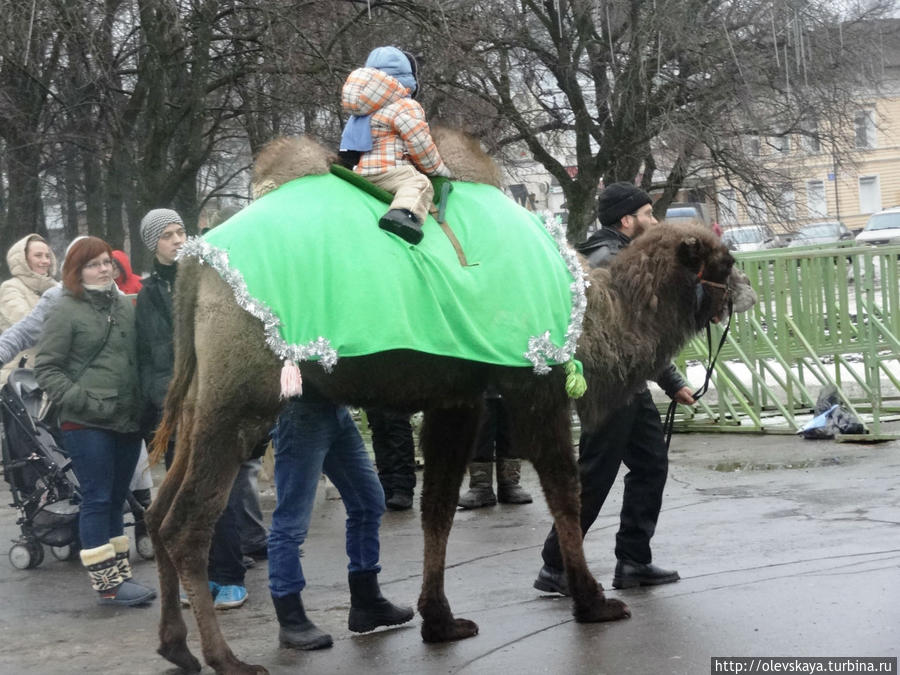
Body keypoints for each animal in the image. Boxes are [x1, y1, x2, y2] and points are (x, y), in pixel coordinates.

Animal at [146, 129, 752, 672]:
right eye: (721, 262)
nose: (744, 288)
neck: (590, 307)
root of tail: (196, 261)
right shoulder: (534, 383)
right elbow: (565, 491)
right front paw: (593, 601)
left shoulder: (456, 397)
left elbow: (437, 509)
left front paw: (439, 622)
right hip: (243, 396)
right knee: (187, 523)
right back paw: (227, 659)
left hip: (205, 395)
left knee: (157, 510)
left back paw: (176, 647)